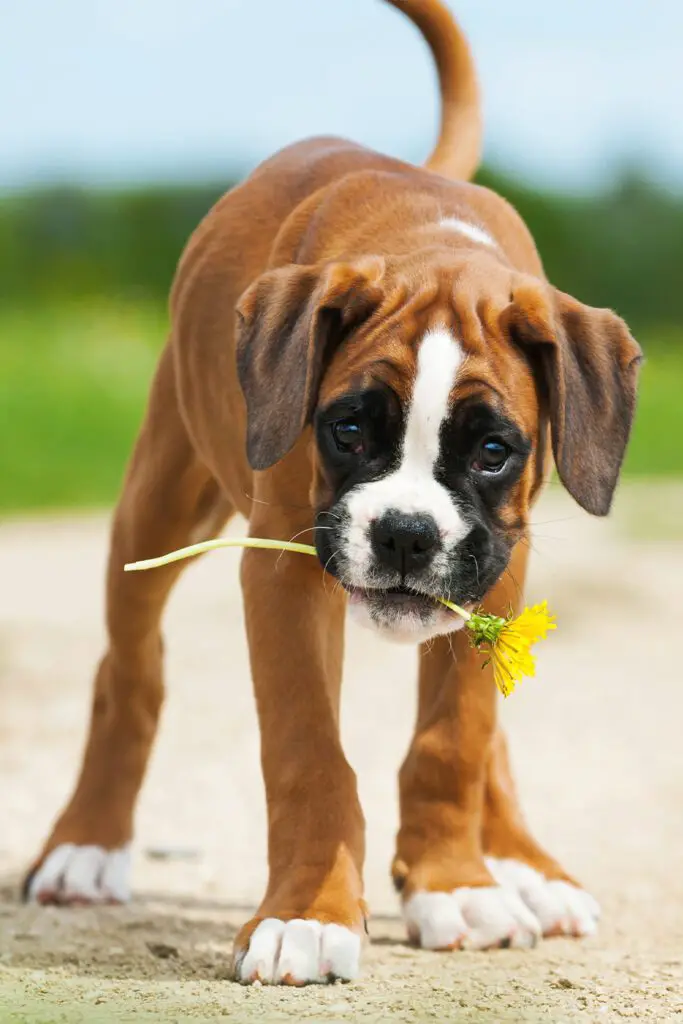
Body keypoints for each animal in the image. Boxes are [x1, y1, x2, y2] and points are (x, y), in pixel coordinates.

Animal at [25, 0, 643, 983]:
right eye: (348, 429)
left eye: (493, 451)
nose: (405, 535)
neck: (428, 244)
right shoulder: (282, 579)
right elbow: (309, 752)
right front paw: (310, 914)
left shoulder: (496, 570)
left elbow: (456, 737)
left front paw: (456, 885)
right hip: (160, 499)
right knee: (129, 671)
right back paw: (86, 845)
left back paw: (524, 866)